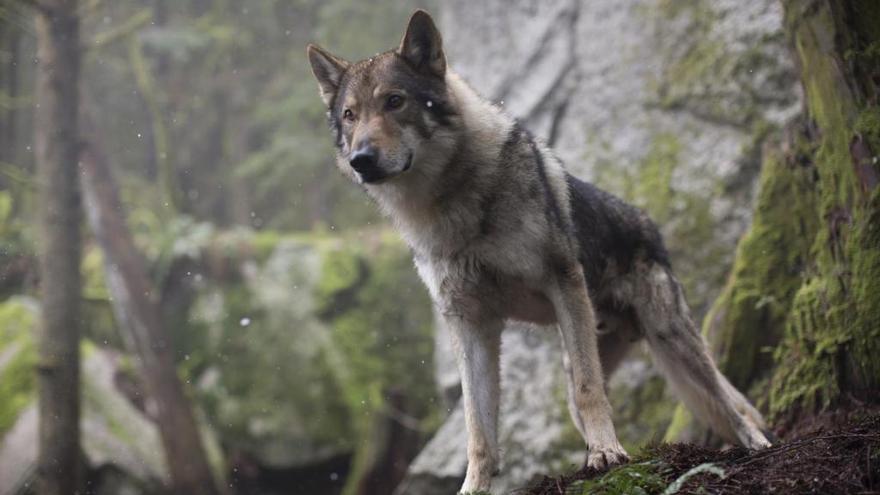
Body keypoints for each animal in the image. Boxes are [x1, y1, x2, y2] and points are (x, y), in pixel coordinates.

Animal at [308, 9, 768, 494]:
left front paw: (608, 455)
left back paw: (753, 443)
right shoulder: (470, 324)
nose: (361, 159)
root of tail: (647, 222)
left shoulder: (561, 283)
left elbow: (589, 391)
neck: (451, 206)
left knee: (726, 402)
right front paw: (474, 487)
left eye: (394, 101)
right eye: (350, 115)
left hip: (669, 338)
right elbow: (477, 429)